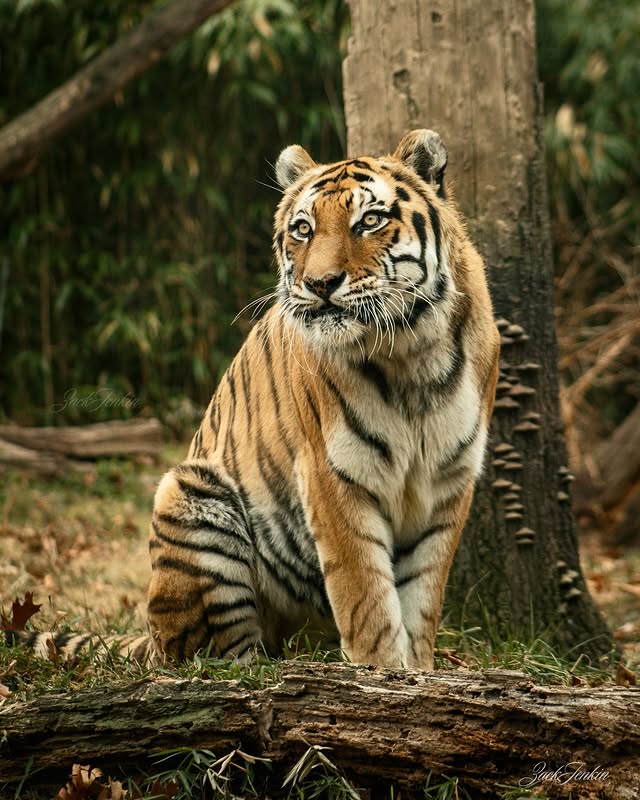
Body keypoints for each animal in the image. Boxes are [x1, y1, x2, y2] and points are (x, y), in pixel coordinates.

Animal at [10, 130, 500, 671]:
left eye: (369, 221)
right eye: (303, 229)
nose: (320, 284)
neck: (410, 353)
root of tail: (146, 637)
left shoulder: (448, 483)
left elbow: (421, 602)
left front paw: (420, 674)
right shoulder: (333, 477)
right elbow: (368, 601)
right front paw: (380, 675)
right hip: (190, 493)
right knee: (211, 656)